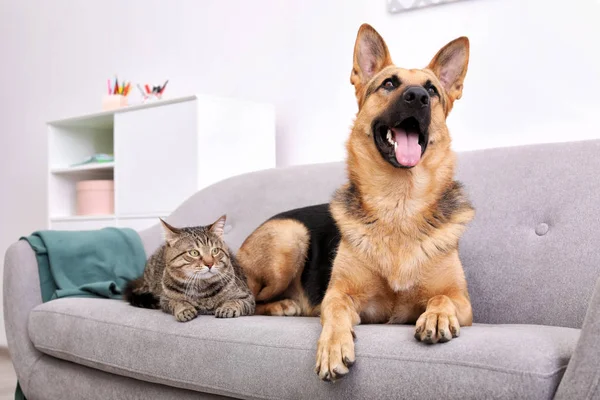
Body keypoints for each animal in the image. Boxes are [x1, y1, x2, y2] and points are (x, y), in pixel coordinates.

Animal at [123, 216, 254, 322]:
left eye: (215, 251)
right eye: (194, 253)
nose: (209, 264)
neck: (201, 289)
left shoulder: (247, 298)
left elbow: (235, 301)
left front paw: (227, 307)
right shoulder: (165, 300)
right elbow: (177, 302)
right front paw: (184, 309)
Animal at [237, 24, 476, 382]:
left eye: (432, 90)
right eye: (389, 84)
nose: (417, 97)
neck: (398, 204)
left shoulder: (463, 302)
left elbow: (440, 298)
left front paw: (436, 316)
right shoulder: (341, 294)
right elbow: (335, 311)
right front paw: (334, 346)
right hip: (290, 237)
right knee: (249, 299)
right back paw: (283, 305)